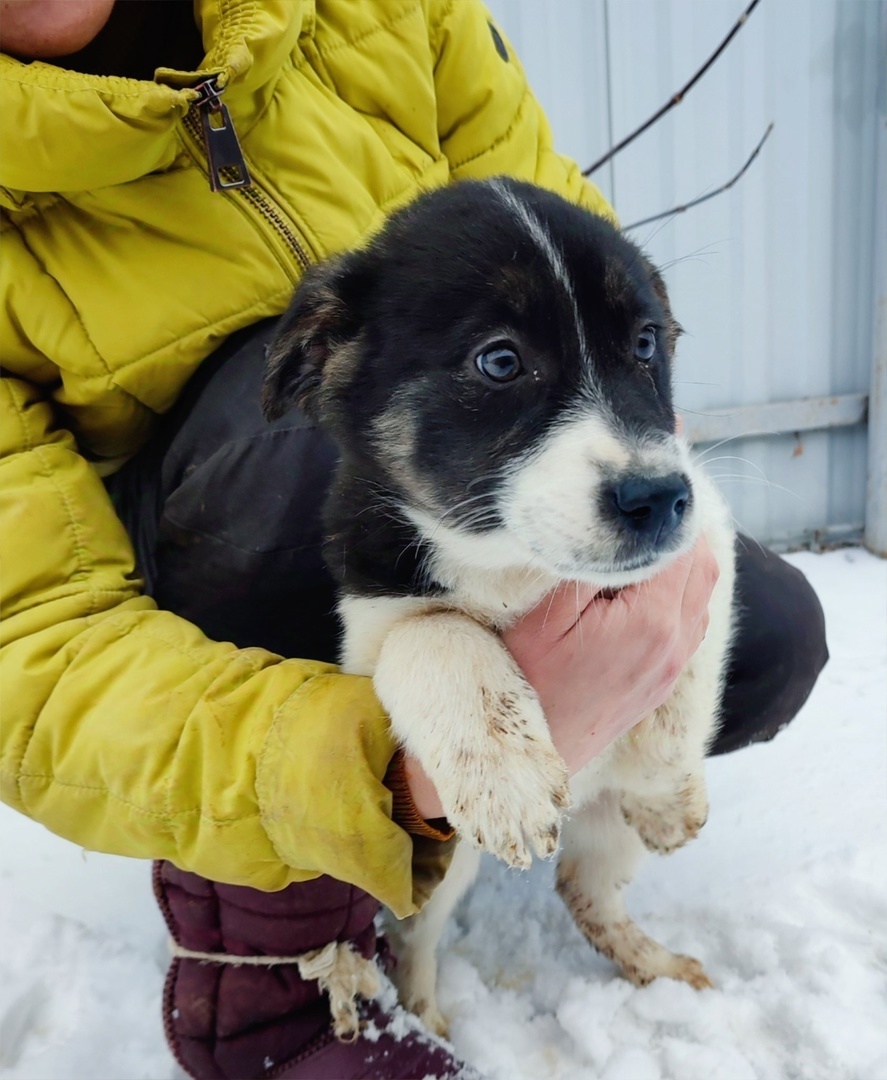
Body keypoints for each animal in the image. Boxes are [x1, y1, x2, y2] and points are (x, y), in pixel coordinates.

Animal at [261, 179, 734, 1036]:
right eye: (500, 361)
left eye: (645, 344)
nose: (655, 498)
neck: (514, 563)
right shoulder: (372, 619)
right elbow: (437, 636)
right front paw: (507, 774)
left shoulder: (704, 529)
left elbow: (684, 677)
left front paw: (669, 799)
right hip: (450, 860)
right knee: (416, 933)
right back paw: (427, 1014)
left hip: (601, 834)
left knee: (585, 892)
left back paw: (657, 967)